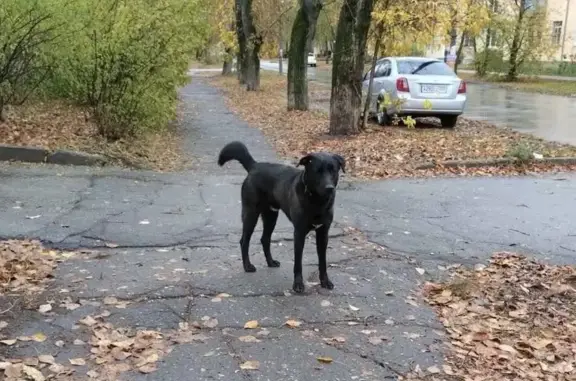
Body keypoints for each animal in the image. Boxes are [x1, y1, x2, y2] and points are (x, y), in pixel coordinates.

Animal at [217, 141, 344, 292]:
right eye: (317, 171)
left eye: (333, 170)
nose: (329, 188)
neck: (317, 201)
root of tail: (255, 166)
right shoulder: (299, 233)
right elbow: (298, 263)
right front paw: (298, 284)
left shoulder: (323, 233)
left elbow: (323, 262)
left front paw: (325, 281)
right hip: (250, 214)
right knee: (244, 241)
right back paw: (248, 266)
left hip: (271, 216)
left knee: (265, 239)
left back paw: (270, 262)